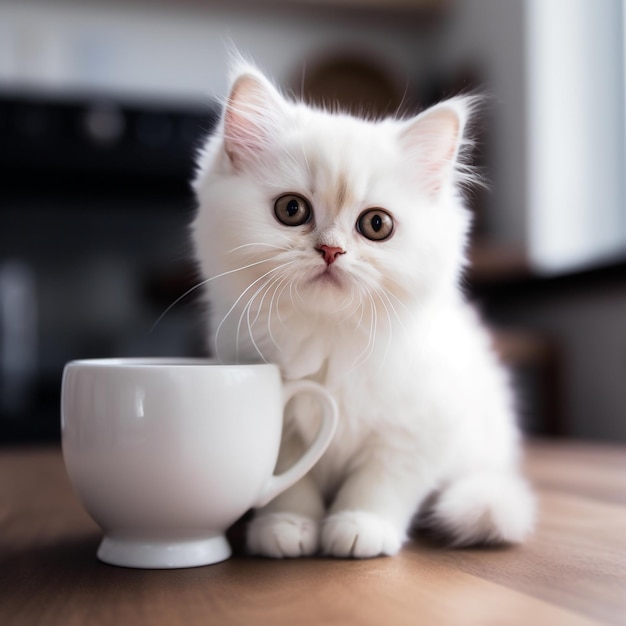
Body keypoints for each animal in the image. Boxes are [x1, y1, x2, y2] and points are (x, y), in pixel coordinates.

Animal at [190, 58, 532, 556]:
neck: (328, 337)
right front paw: (288, 526)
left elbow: (380, 482)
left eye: (376, 225)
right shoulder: (285, 428)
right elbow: (291, 483)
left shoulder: (421, 427)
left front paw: (359, 527)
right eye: (291, 210)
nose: (331, 251)